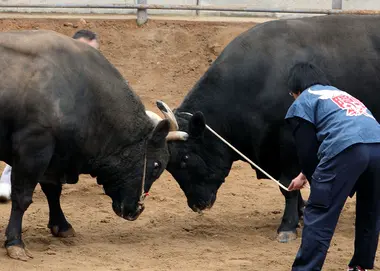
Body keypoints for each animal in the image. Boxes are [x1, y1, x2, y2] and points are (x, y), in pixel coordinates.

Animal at [157, 14, 380, 244]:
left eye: (185, 158)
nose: (197, 205)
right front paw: (300, 213)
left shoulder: (289, 144)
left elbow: (287, 185)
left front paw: (287, 226)